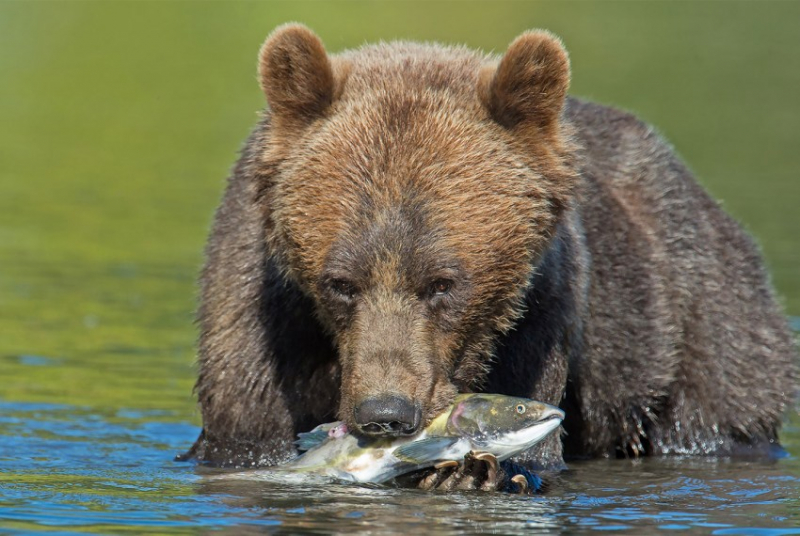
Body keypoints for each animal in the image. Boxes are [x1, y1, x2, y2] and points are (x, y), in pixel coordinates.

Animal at [180, 24, 792, 486]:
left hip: (700, 325)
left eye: (442, 283)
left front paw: (475, 474)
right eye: (340, 283)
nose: (385, 414)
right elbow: (247, 430)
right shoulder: (261, 319)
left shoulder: (538, 318)